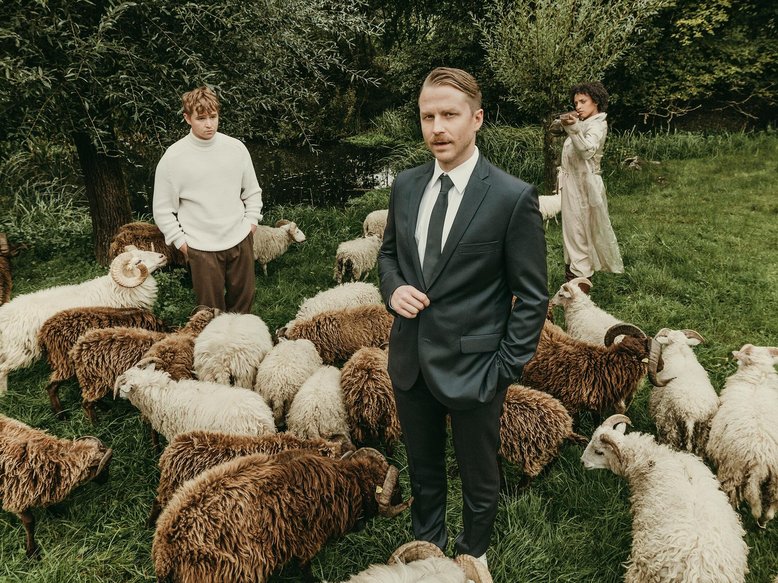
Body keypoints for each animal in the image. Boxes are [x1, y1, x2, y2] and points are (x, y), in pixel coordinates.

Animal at [0, 246, 166, 394]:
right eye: (139, 261)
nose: (162, 256)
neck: (119, 289)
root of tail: (5, 315)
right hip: (21, 349)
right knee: (3, 369)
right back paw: (5, 395)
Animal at [0, 414, 112, 558]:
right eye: (105, 467)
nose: (106, 480)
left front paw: (56, 512)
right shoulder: (16, 497)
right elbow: (29, 523)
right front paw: (32, 551)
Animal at [70, 309, 216, 422]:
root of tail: (77, 348)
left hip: (92, 380)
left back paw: (105, 408)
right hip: (93, 380)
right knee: (86, 404)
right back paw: (95, 423)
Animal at [152, 447, 412, 583]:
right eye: (396, 488)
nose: (405, 497)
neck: (346, 482)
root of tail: (166, 552)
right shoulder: (308, 543)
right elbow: (305, 570)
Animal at [706, 344, 778, 528]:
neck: (758, 373)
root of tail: (762, 461)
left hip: (733, 472)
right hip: (776, 481)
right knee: (771, 507)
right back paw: (764, 521)